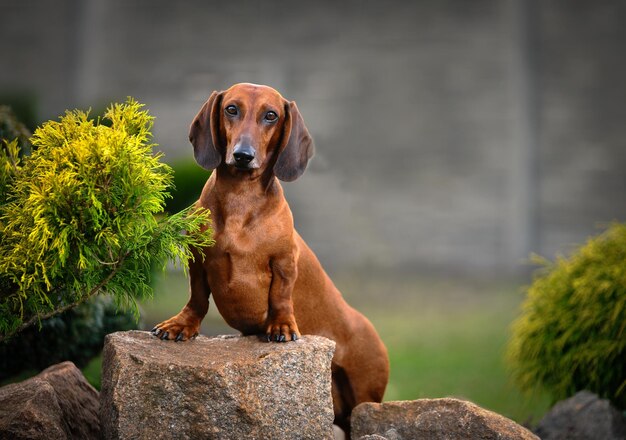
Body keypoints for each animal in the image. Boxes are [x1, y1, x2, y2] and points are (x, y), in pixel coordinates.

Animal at [151, 82, 386, 430]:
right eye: (231, 109)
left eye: (271, 115)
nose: (243, 155)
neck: (241, 198)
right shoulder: (197, 260)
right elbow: (197, 298)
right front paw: (182, 324)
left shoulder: (285, 262)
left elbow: (281, 296)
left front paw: (282, 327)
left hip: (364, 392)